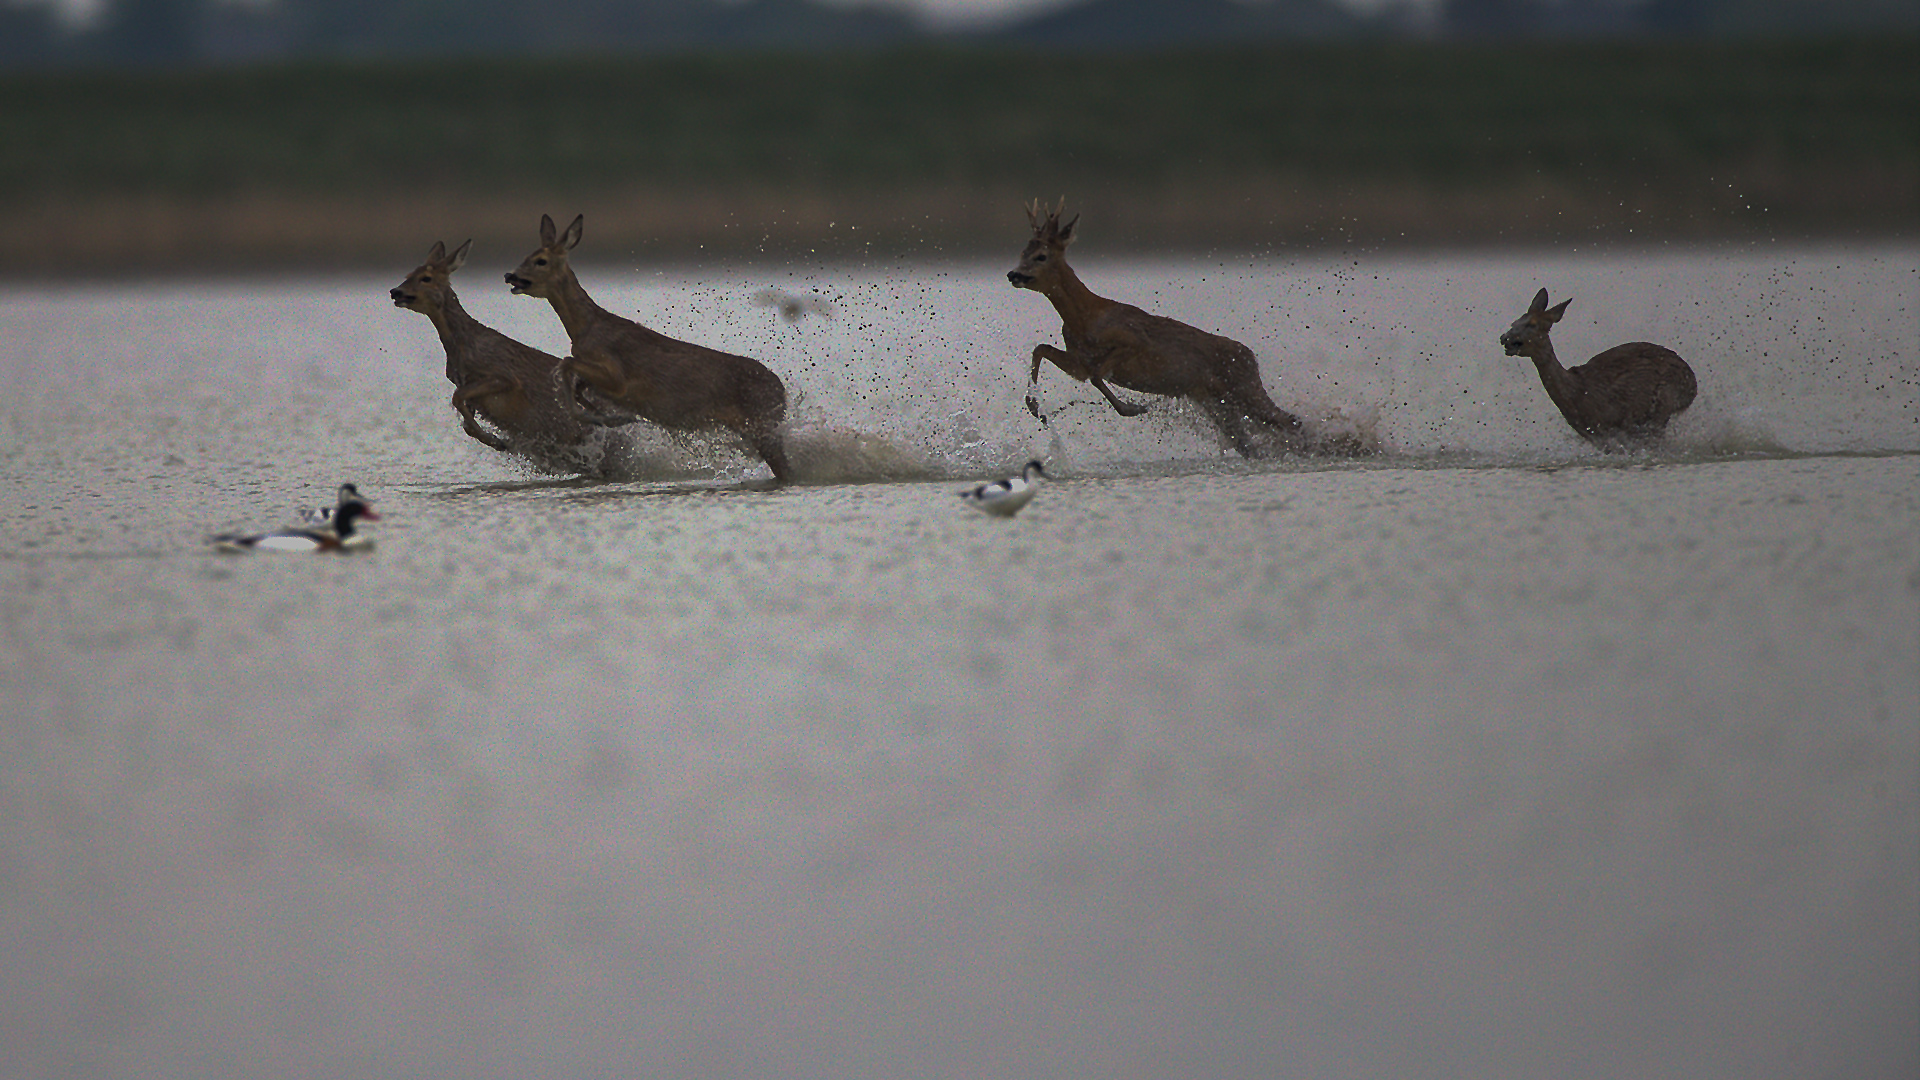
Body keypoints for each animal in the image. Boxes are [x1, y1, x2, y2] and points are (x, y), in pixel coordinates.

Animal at [393, 237, 633, 468]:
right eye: (407, 275)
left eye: (426, 278)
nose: (395, 291)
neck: (463, 346)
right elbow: (464, 418)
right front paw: (500, 443)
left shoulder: (504, 376)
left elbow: (457, 397)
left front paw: (497, 441)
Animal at [506, 211, 791, 478]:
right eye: (526, 255)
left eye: (540, 260)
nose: (510, 275)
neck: (586, 329)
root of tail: (782, 391)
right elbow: (579, 386)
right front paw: (613, 418)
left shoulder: (618, 376)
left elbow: (566, 364)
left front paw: (603, 417)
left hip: (762, 423)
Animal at [1013, 197, 1359, 453]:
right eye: (1022, 252)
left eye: (1041, 255)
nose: (1013, 274)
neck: (1086, 317)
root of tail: (1251, 356)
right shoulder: (1078, 361)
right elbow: (1042, 348)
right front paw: (1035, 408)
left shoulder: (1133, 342)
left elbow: (1099, 374)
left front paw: (1133, 408)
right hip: (1217, 400)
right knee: (1248, 439)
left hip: (1245, 386)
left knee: (1289, 421)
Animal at [1497, 284, 1697, 443]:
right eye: (1514, 322)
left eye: (1532, 324)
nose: (1504, 337)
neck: (1579, 394)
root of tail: (1693, 384)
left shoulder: (1623, 425)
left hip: (1664, 400)